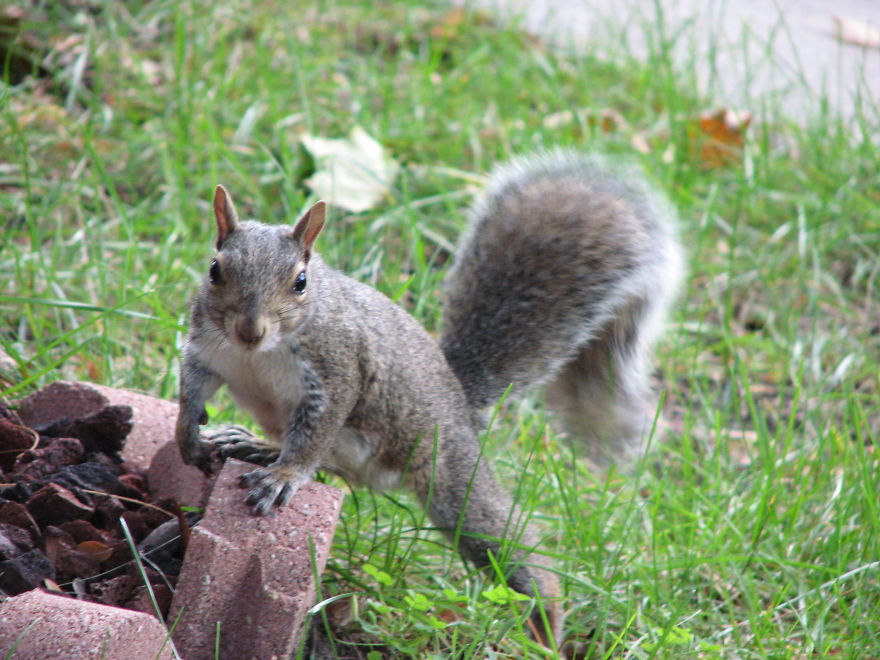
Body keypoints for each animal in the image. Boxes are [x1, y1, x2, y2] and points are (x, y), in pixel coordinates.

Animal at [172, 148, 680, 644]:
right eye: (215, 270)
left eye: (300, 281)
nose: (249, 330)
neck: (257, 356)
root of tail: (458, 399)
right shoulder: (207, 350)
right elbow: (192, 389)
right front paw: (187, 436)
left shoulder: (338, 372)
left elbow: (315, 435)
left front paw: (284, 477)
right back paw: (255, 445)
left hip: (450, 472)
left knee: (509, 544)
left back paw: (546, 626)